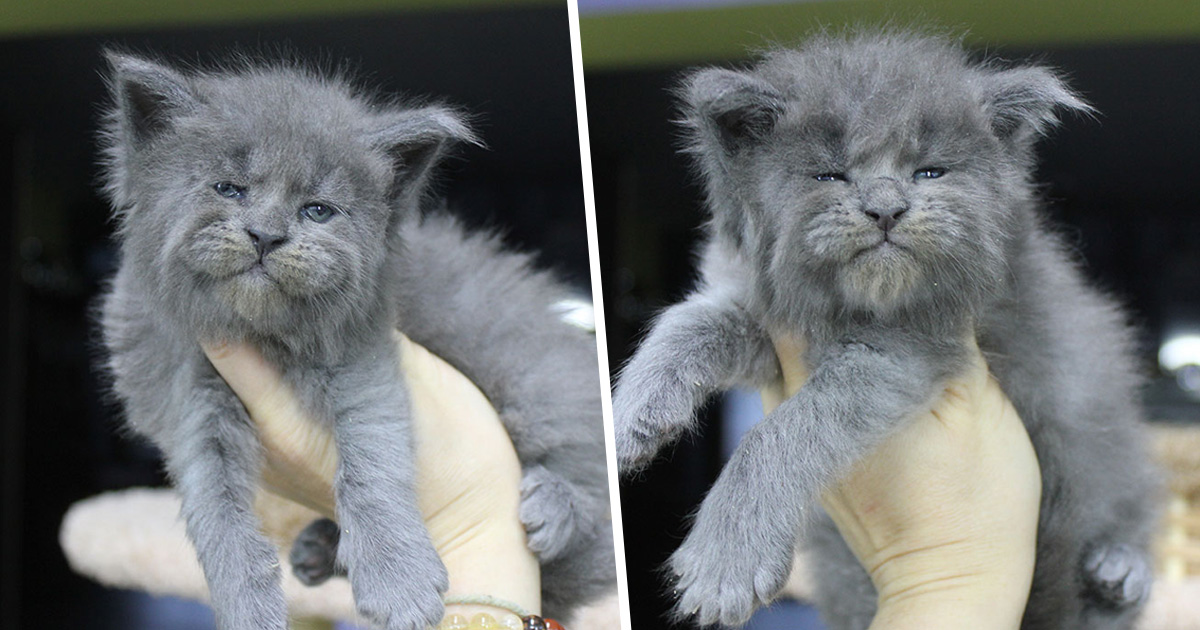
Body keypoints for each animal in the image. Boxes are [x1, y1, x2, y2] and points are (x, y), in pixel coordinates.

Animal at [98, 52, 614, 628]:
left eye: (318, 210)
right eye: (228, 189)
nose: (265, 234)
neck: (263, 332)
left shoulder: (362, 361)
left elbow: (371, 461)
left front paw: (397, 582)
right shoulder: (186, 391)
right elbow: (214, 506)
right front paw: (246, 605)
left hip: (534, 377)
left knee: (585, 460)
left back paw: (556, 507)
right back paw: (319, 549)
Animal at [614, 30, 1156, 628]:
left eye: (929, 172)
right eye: (829, 175)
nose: (886, 208)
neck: (856, 306)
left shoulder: (908, 350)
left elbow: (782, 430)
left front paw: (726, 560)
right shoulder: (772, 320)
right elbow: (690, 321)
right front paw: (632, 413)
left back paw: (1120, 569)